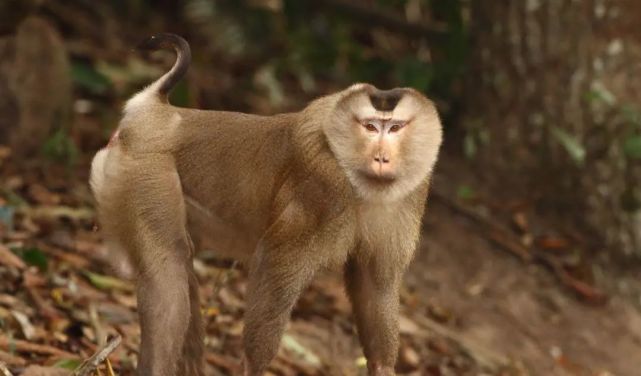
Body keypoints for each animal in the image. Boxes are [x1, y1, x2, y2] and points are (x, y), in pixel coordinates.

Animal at [89, 33, 440, 376]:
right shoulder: (322, 186)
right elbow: (272, 267)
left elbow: (375, 285)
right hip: (145, 173)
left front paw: (383, 367)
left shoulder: (412, 193)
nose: (381, 158)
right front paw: (254, 366)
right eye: (370, 127)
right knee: (169, 282)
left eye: (395, 128)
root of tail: (156, 112)